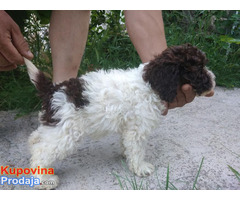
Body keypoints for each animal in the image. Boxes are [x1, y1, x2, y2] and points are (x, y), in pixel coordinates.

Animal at [24, 43, 216, 189]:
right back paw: (43, 180)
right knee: (42, 151)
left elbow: (127, 144)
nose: (214, 80)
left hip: (56, 125)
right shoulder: (138, 128)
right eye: (197, 69)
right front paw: (140, 167)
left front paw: (126, 156)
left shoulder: (129, 125)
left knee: (37, 138)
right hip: (67, 131)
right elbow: (137, 149)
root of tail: (54, 90)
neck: (150, 83)